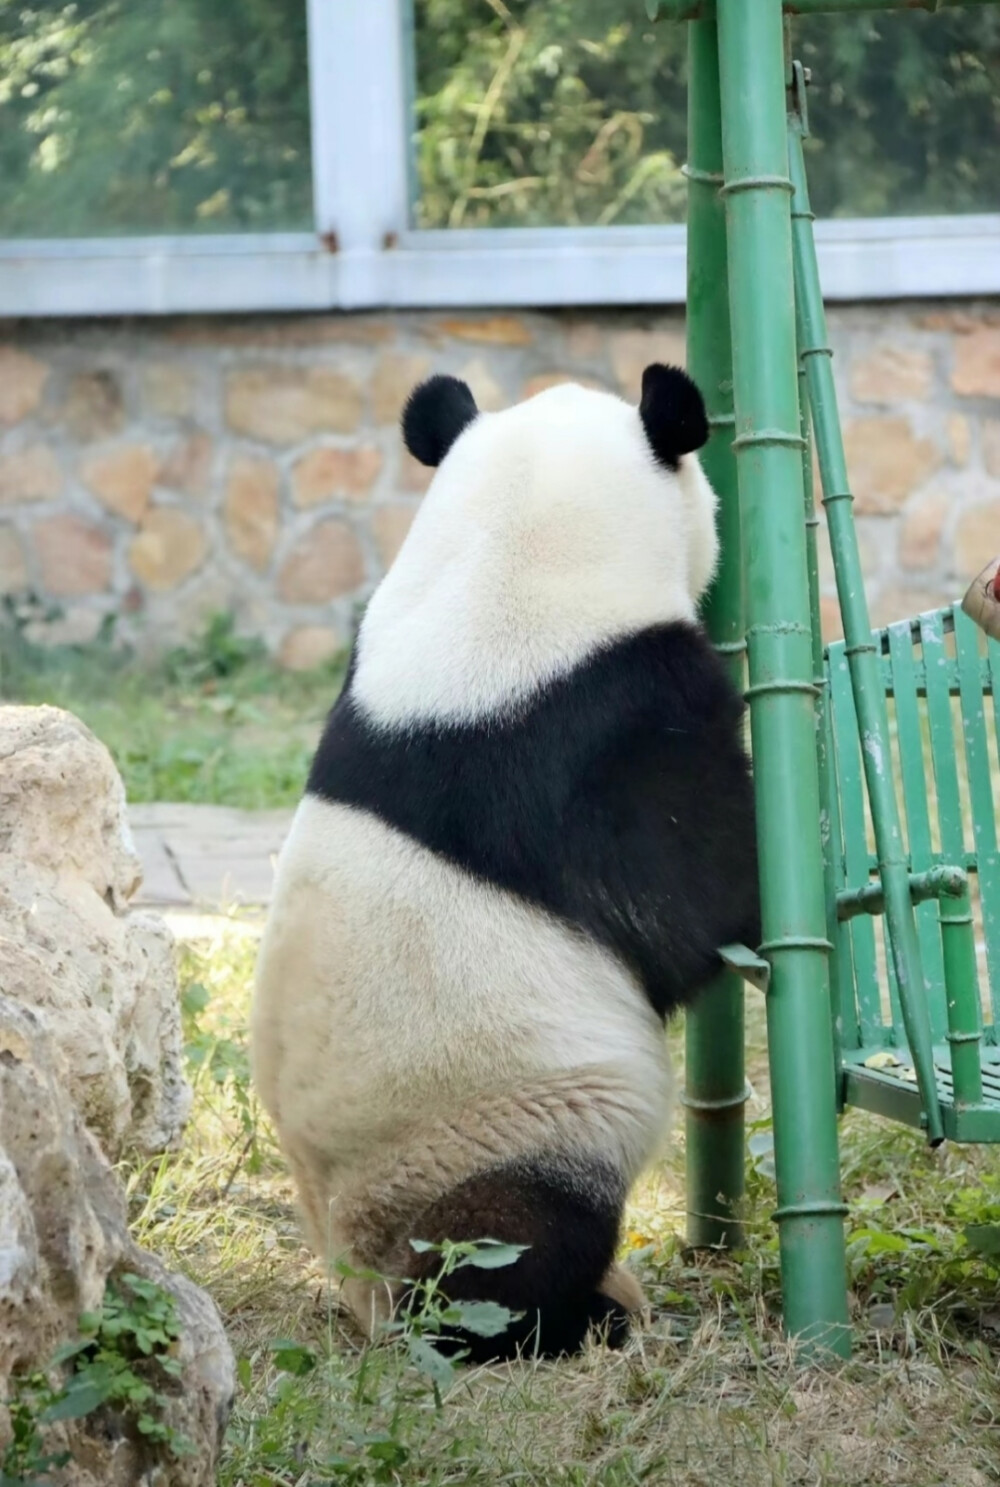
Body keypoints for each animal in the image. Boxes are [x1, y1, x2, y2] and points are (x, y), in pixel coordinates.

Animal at [250, 365, 758, 1362]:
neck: (505, 562)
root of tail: (359, 1289)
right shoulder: (608, 724)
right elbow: (697, 908)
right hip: (502, 1132)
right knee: (511, 1241)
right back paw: (579, 1316)